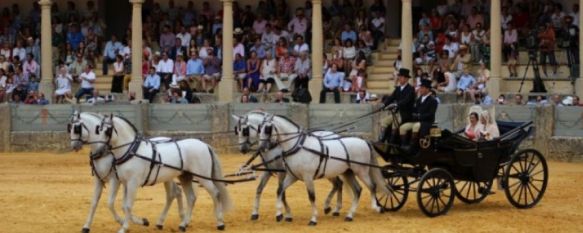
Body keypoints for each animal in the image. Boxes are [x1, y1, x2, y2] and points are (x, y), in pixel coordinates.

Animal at [92, 114, 232, 232]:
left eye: (107, 131)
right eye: (98, 130)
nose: (97, 152)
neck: (131, 151)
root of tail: (205, 145)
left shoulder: (133, 183)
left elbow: (128, 206)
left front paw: (124, 228)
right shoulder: (125, 183)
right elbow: (124, 205)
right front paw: (137, 222)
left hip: (204, 178)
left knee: (215, 193)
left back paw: (220, 223)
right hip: (185, 177)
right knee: (191, 198)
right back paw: (183, 224)